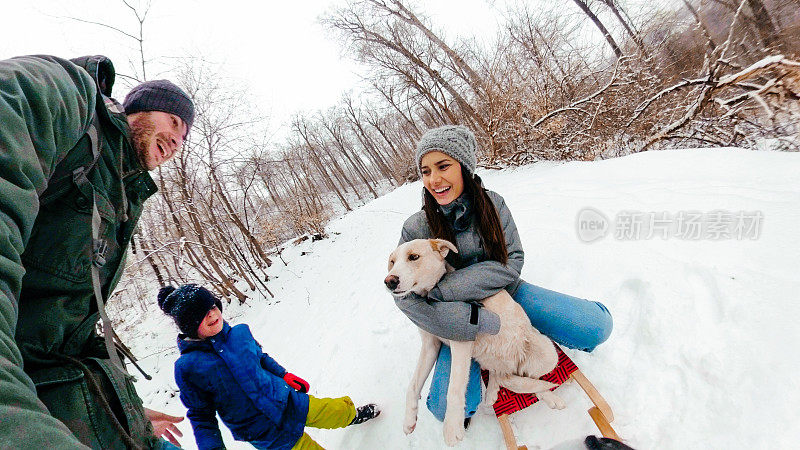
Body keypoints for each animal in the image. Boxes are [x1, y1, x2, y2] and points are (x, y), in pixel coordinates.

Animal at [386, 239, 564, 446]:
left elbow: (454, 389)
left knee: (532, 378)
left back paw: (549, 396)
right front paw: (409, 419)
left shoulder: (462, 341)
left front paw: (452, 429)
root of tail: (511, 367)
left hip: (547, 352)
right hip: (490, 360)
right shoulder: (430, 345)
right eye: (392, 262)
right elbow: (412, 386)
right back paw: (493, 393)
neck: (431, 298)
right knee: (502, 376)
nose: (389, 281)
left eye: (413, 257)